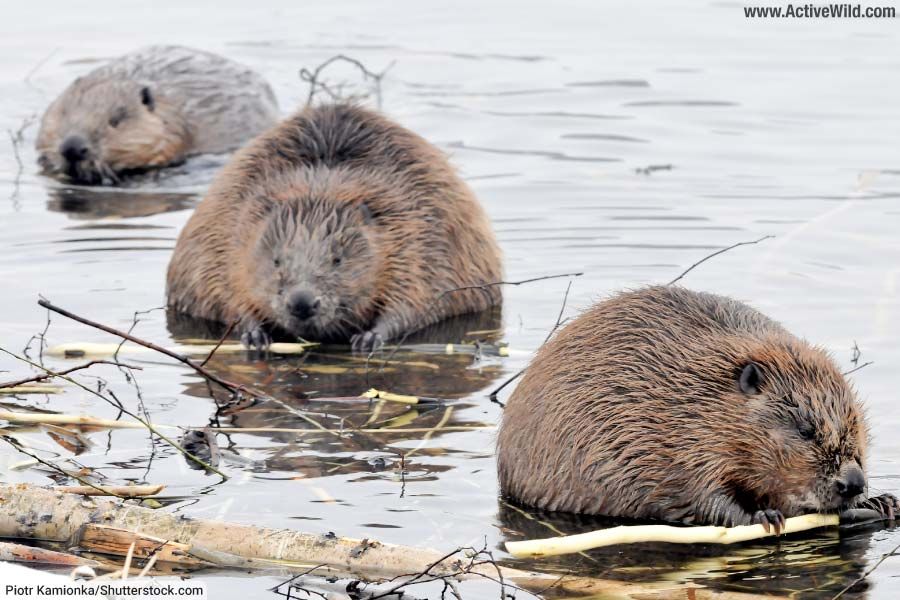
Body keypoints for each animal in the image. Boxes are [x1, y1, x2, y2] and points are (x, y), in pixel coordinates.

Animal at [165, 103, 502, 352]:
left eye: (337, 259)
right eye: (276, 260)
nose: (302, 303)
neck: (320, 192)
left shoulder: (421, 233)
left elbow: (417, 297)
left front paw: (369, 338)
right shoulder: (227, 227)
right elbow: (225, 290)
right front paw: (254, 336)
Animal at [496, 286, 896, 528]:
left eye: (858, 429)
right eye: (805, 430)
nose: (853, 482)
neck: (697, 396)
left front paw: (882, 502)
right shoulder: (677, 444)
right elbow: (704, 496)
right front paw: (764, 516)